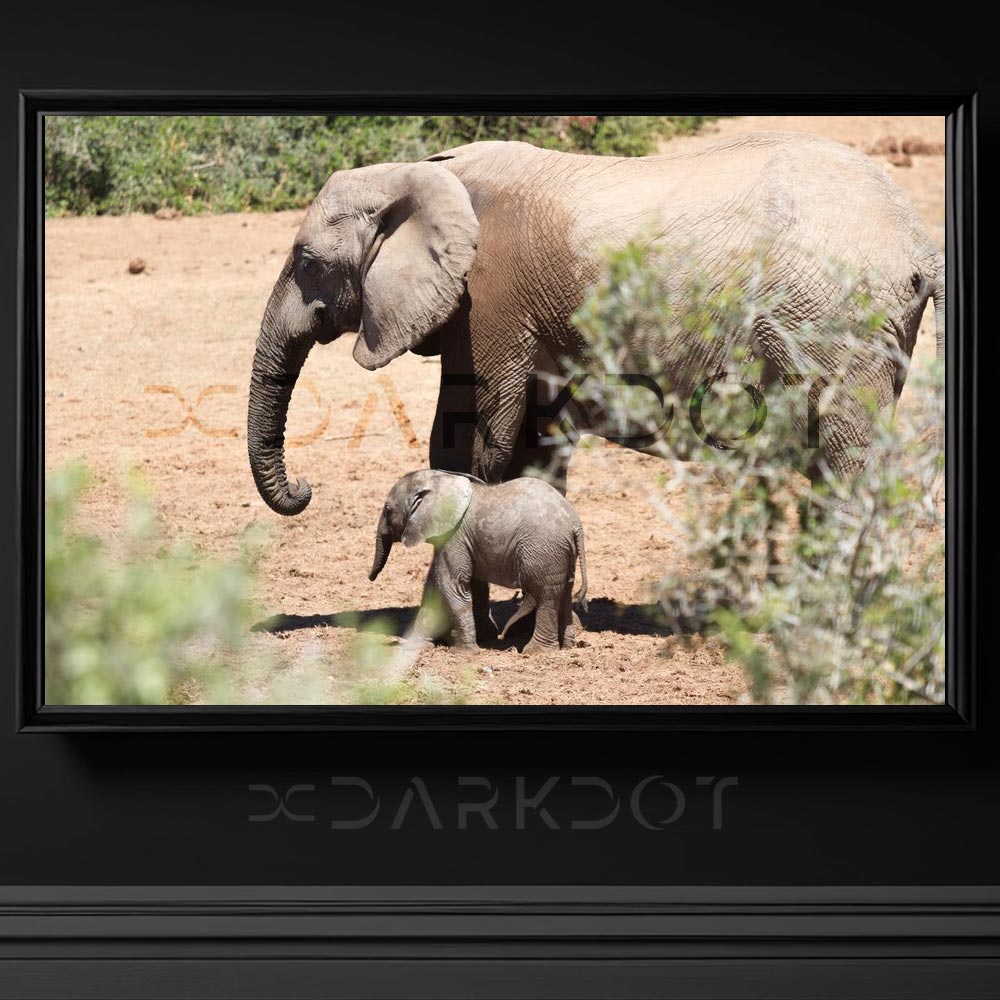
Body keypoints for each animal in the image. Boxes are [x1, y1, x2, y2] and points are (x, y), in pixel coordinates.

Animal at [246, 131, 940, 516]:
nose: (304, 488)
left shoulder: (493, 296)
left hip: (837, 324)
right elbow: (513, 435)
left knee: (847, 463)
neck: (422, 172)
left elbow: (486, 432)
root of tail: (917, 239)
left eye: (307, 264)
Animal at [370, 470, 584, 656]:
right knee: (564, 591)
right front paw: (415, 646)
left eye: (388, 510)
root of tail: (575, 525)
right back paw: (567, 647)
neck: (441, 478)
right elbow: (434, 586)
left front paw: (462, 652)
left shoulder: (454, 535)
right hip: (561, 554)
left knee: (545, 595)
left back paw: (536, 652)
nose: (371, 578)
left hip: (544, 551)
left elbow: (451, 585)